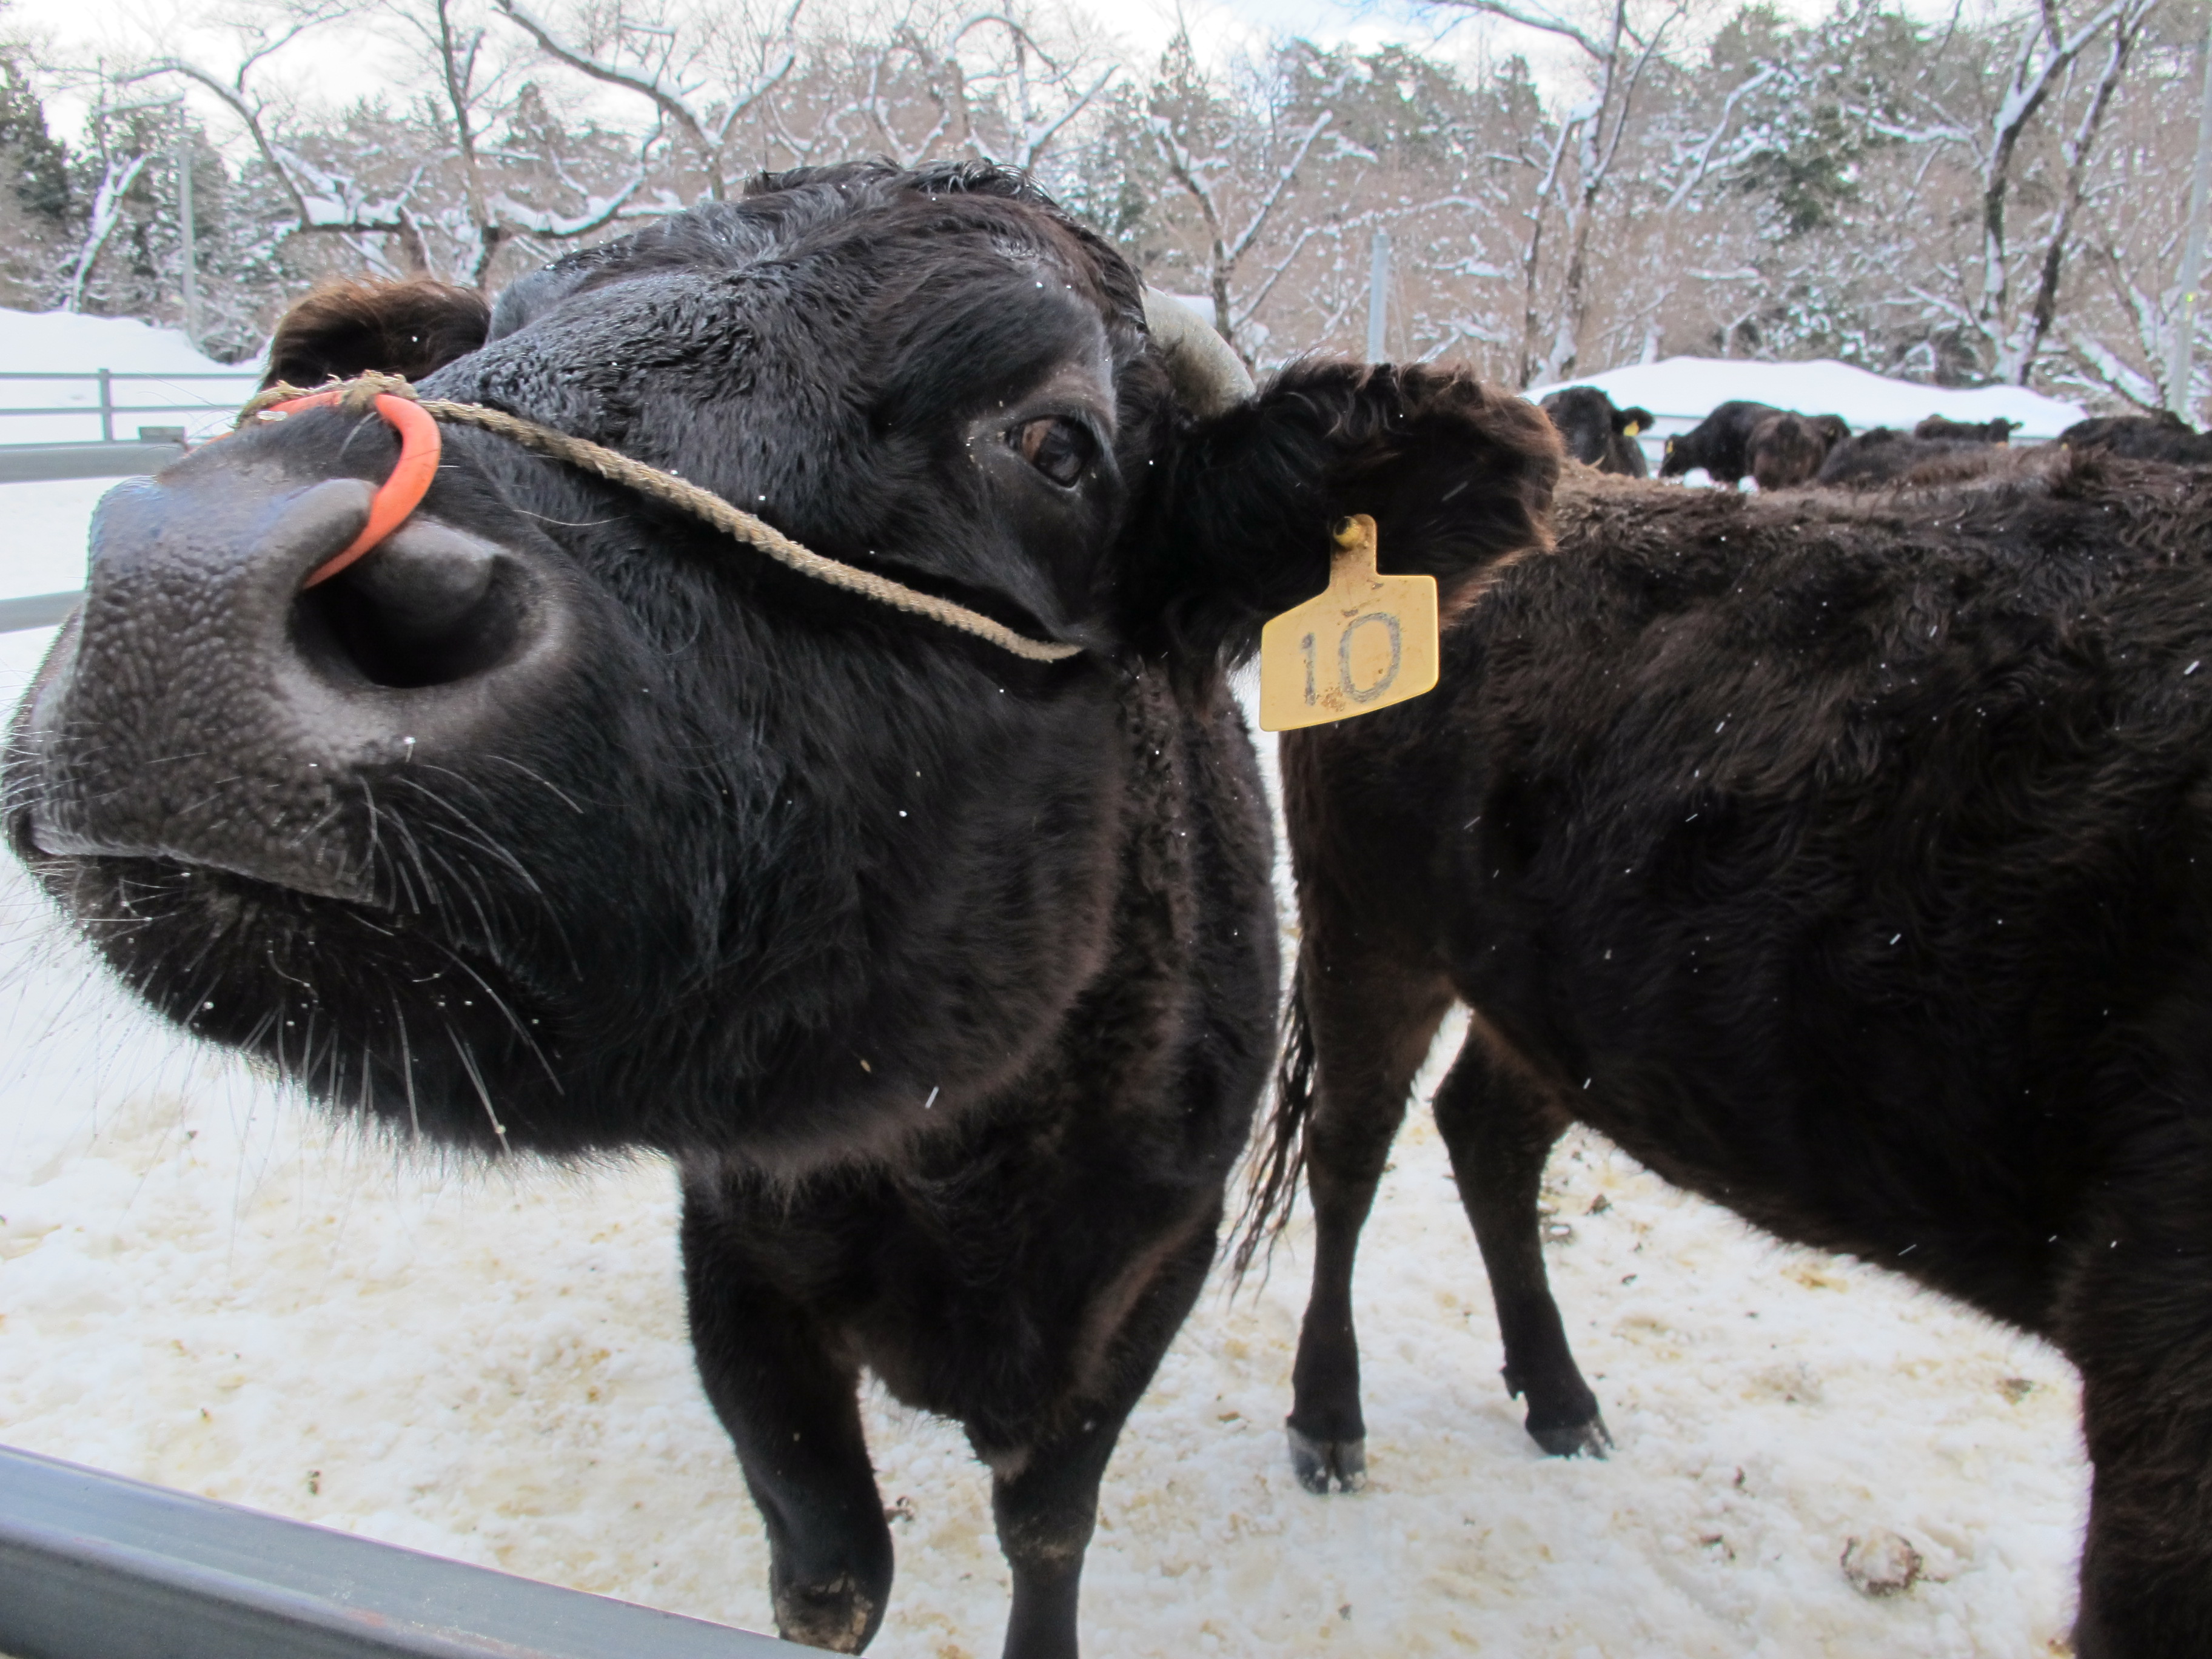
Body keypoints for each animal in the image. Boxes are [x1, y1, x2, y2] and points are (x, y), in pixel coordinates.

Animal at [1265, 449, 2212, 1654]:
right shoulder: (2158, 1352)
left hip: (1550, 994)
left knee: (1484, 1130)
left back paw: (1560, 1398)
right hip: (1368, 931)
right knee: (1349, 1151)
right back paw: (1328, 1416)